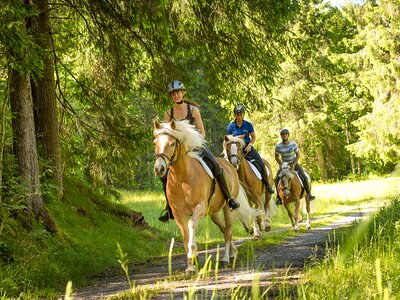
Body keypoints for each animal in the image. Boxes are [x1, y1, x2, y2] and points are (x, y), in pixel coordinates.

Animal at [152, 119, 260, 274]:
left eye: (172, 144)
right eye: (155, 143)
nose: (159, 169)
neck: (183, 178)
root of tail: (229, 165)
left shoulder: (200, 208)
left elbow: (191, 226)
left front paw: (193, 256)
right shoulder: (179, 214)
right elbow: (185, 236)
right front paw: (191, 264)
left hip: (227, 207)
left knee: (228, 231)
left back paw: (225, 258)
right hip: (213, 212)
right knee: (223, 228)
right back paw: (232, 252)